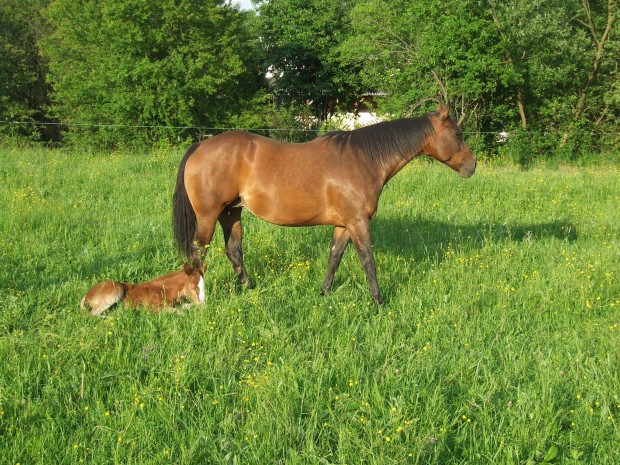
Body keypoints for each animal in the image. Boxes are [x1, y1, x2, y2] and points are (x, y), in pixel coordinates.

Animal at [172, 103, 478, 302]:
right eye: (458, 134)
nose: (472, 165)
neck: (363, 159)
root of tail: (200, 146)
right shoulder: (358, 222)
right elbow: (368, 260)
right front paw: (378, 301)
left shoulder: (344, 224)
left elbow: (334, 257)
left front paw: (325, 293)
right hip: (209, 216)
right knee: (198, 253)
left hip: (231, 213)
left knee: (234, 251)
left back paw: (250, 288)